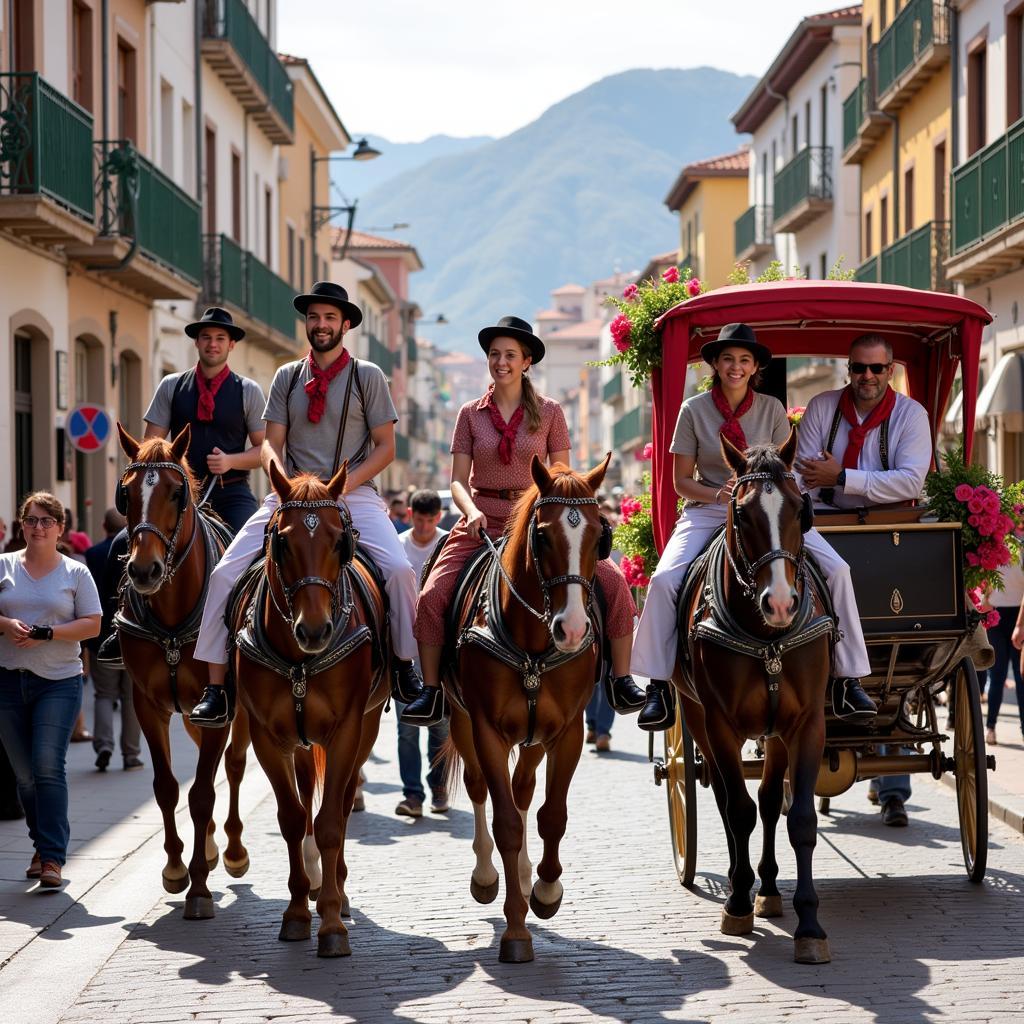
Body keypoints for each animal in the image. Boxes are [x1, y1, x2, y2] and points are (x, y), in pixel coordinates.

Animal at [115, 419, 249, 917]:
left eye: (176, 493)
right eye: (126, 493)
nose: (144, 570)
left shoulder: (220, 710)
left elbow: (204, 790)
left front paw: (199, 888)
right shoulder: (147, 706)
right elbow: (169, 787)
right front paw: (176, 869)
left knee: (234, 766)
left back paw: (232, 850)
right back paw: (207, 848)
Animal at [231, 460, 387, 954]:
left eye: (341, 541)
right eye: (281, 541)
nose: (315, 630)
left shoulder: (346, 731)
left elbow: (332, 820)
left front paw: (333, 921)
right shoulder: (267, 736)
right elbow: (293, 818)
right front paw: (298, 911)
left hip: (367, 728)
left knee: (342, 800)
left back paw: (338, 888)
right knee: (307, 798)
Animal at [440, 452, 606, 962]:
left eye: (600, 535)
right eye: (543, 536)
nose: (572, 629)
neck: (533, 642)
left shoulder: (568, 731)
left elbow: (551, 815)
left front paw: (546, 892)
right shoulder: (487, 730)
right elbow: (507, 824)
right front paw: (515, 929)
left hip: (534, 737)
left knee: (523, 788)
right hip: (462, 721)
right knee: (481, 790)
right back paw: (487, 875)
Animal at [675, 436, 835, 962]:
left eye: (801, 508)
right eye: (741, 513)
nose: (781, 603)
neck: (766, 635)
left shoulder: (806, 724)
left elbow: (798, 818)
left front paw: (810, 924)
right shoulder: (719, 725)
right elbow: (737, 810)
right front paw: (738, 904)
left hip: (776, 732)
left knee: (766, 800)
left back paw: (767, 888)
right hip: (695, 717)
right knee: (729, 800)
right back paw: (741, 885)